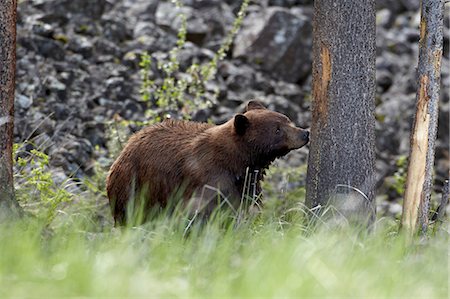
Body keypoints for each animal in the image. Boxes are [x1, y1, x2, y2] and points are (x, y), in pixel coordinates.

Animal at [105, 101, 310, 225]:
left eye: (287, 119)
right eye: (277, 129)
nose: (305, 133)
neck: (236, 159)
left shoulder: (247, 181)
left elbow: (248, 204)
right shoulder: (207, 176)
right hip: (136, 187)